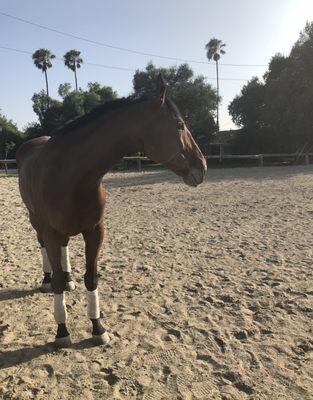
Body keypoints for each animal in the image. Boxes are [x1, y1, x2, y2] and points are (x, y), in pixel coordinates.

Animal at [17, 76, 207, 346]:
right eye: (179, 125)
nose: (202, 166)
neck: (70, 176)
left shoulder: (95, 231)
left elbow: (91, 278)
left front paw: (98, 327)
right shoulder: (51, 231)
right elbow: (57, 282)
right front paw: (62, 332)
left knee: (65, 251)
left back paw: (70, 278)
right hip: (35, 221)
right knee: (42, 248)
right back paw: (46, 280)